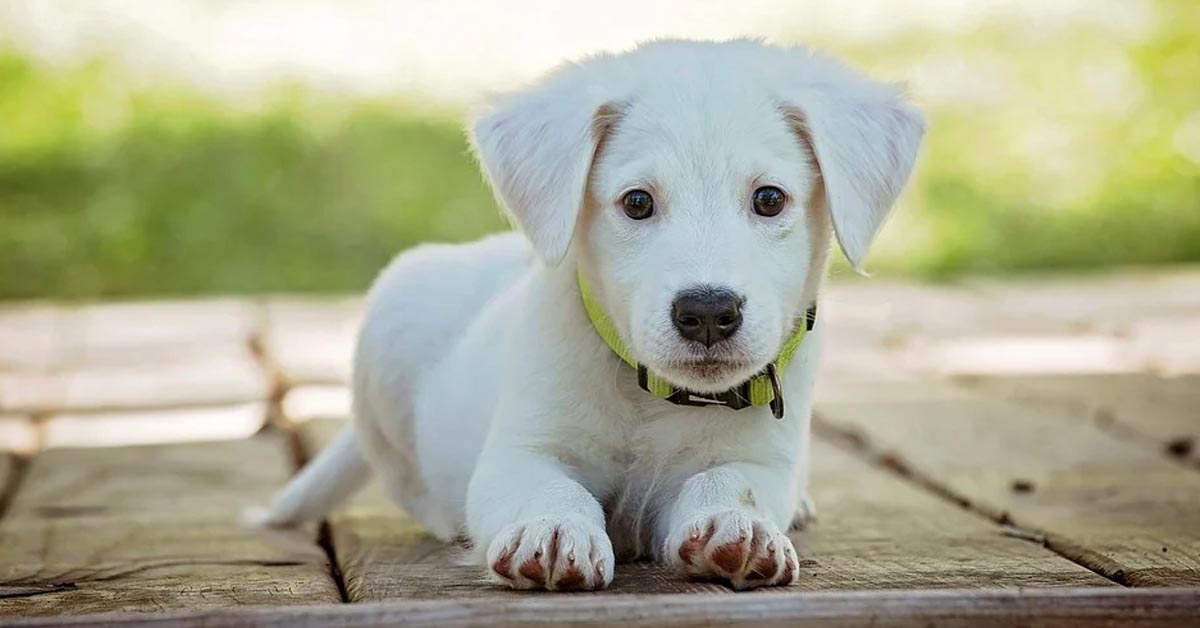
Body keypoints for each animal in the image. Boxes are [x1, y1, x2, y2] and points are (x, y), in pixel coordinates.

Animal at [267, 38, 921, 590]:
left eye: (769, 199)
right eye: (636, 202)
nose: (708, 312)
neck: (652, 397)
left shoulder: (760, 459)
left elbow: (730, 482)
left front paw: (739, 527)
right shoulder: (520, 451)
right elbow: (551, 488)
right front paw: (553, 530)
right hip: (391, 326)